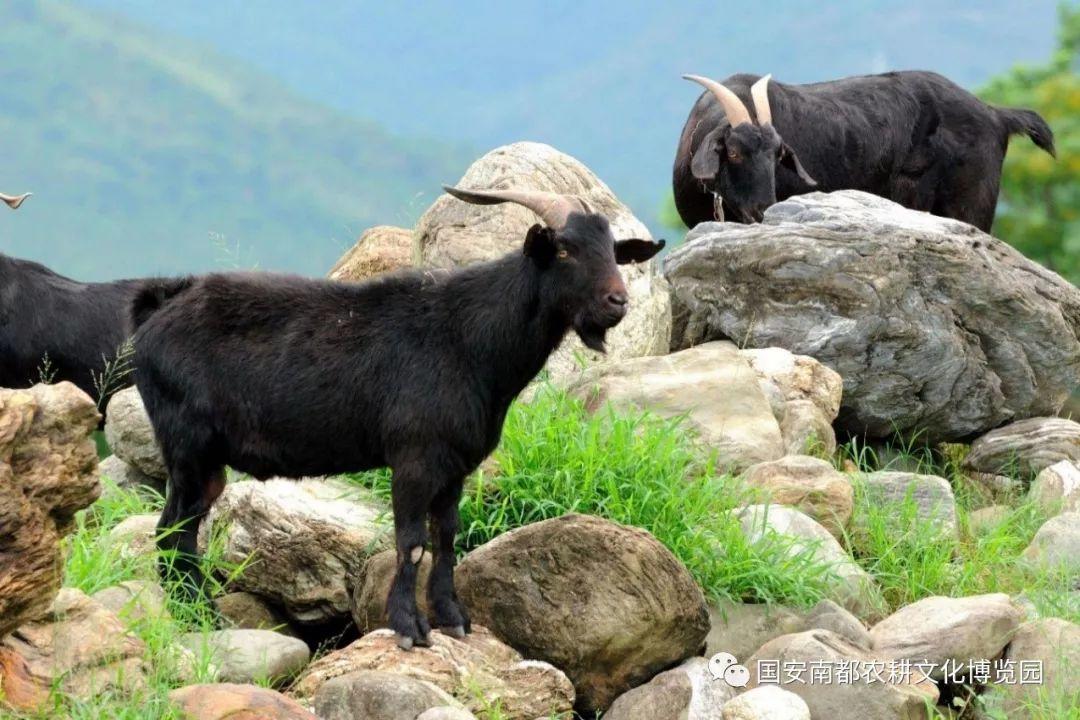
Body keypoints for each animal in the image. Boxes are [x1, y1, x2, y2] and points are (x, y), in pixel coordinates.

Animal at [130, 188, 660, 651]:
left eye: (613, 252)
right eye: (566, 250)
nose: (617, 303)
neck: (469, 341)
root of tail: (155, 317)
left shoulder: (454, 467)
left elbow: (446, 537)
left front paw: (453, 619)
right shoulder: (413, 458)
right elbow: (411, 543)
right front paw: (410, 628)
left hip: (207, 462)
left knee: (180, 530)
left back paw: (196, 611)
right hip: (187, 447)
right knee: (173, 530)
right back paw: (196, 614)